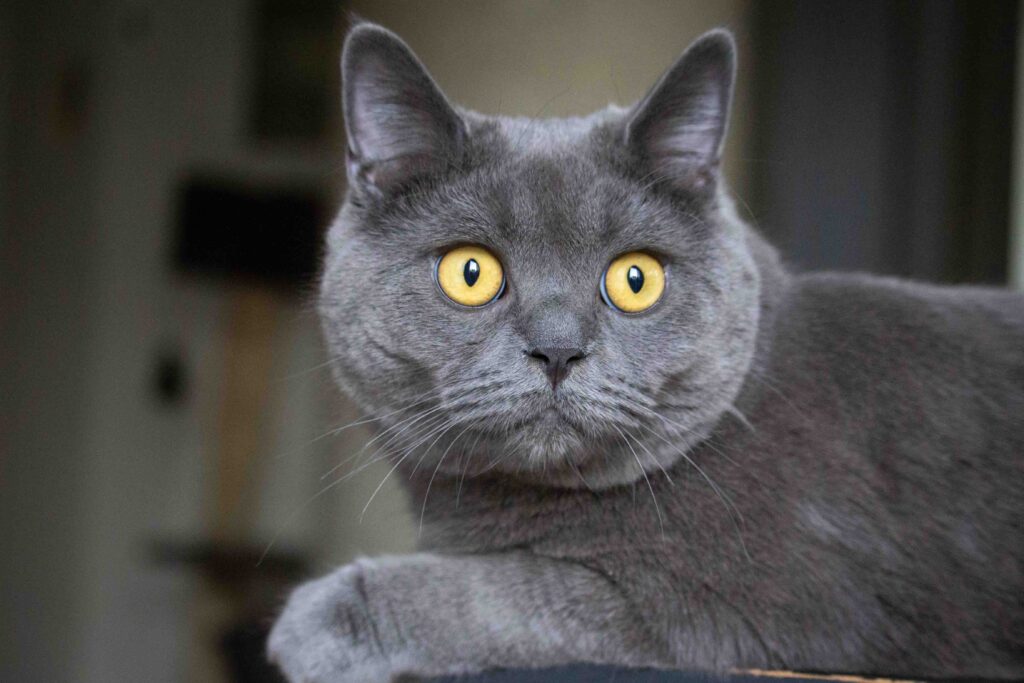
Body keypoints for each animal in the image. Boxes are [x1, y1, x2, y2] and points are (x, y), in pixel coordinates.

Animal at [270, 21, 1024, 683]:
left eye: (636, 279)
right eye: (471, 272)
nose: (557, 349)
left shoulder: (723, 603)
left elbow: (509, 593)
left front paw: (312, 622)